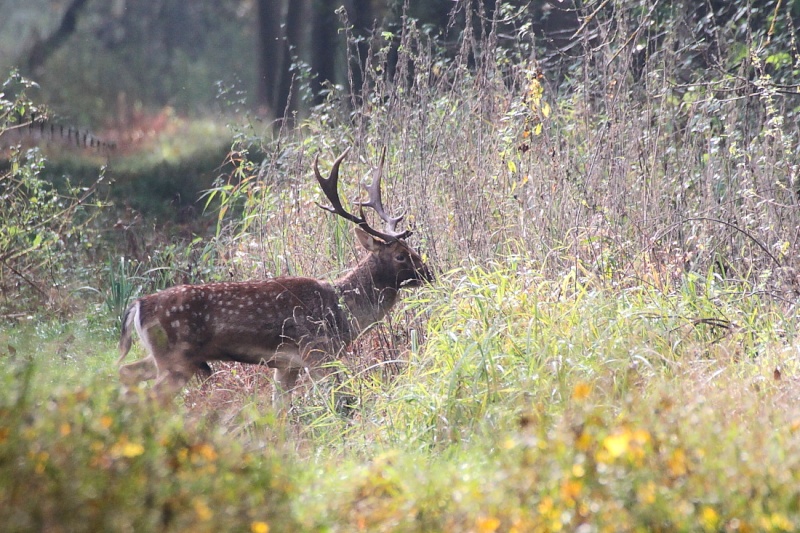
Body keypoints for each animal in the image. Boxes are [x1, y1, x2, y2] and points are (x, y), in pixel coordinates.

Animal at [115, 148, 432, 410]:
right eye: (401, 255)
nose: (430, 274)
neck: (342, 313)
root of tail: (138, 305)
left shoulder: (287, 364)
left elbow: (279, 408)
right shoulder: (317, 351)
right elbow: (340, 399)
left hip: (163, 356)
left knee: (125, 371)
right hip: (176, 357)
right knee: (152, 394)